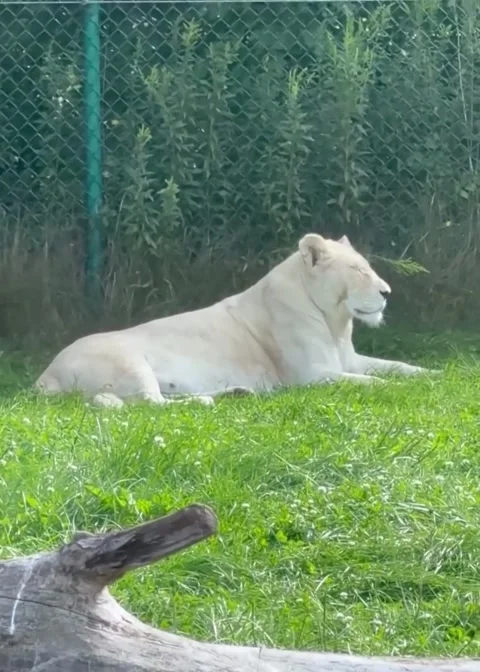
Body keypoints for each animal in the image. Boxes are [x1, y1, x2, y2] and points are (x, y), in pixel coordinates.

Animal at [35, 233, 437, 407]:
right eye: (357, 271)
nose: (387, 292)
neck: (337, 321)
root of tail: (46, 373)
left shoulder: (348, 359)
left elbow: (396, 366)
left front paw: (434, 374)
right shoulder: (311, 376)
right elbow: (370, 382)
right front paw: (398, 389)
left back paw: (236, 392)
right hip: (131, 364)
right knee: (151, 404)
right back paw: (209, 402)